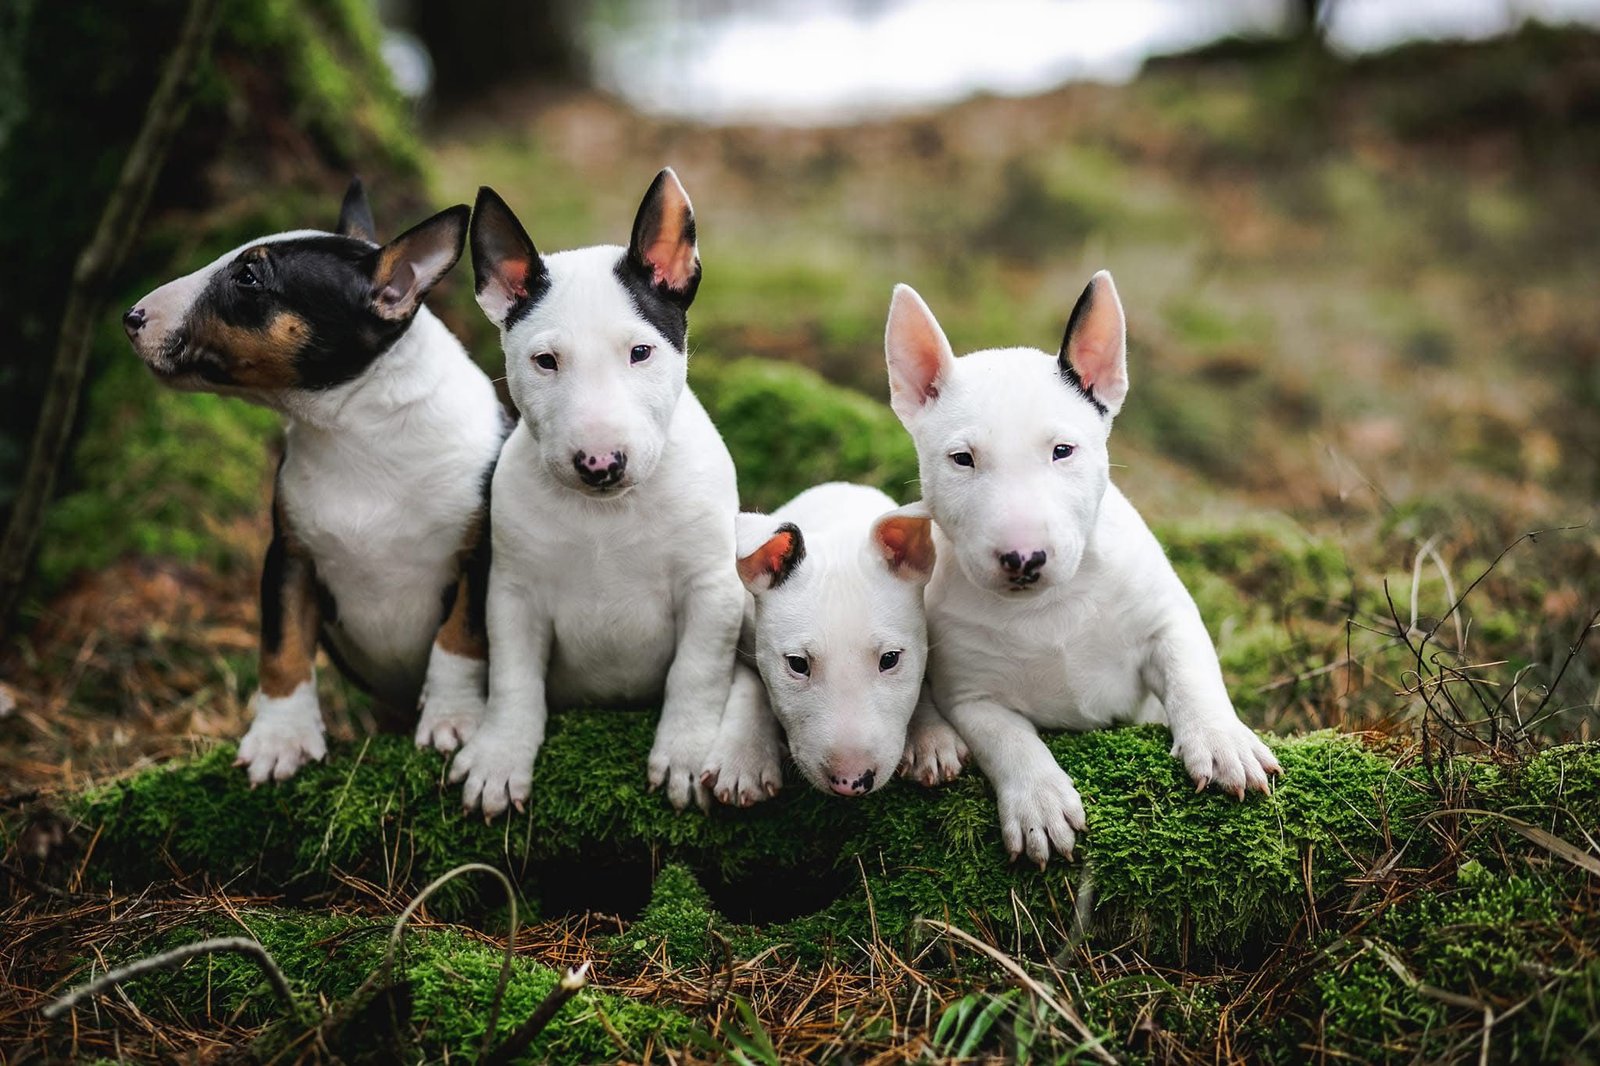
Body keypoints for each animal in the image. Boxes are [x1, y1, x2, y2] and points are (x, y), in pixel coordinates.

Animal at [119, 180, 505, 781]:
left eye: (249, 278)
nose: (132, 316)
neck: (357, 434)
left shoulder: (480, 551)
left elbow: (461, 636)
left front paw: (453, 719)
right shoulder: (290, 556)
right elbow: (282, 648)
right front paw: (279, 740)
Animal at [451, 168, 748, 813]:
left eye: (640, 352)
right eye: (544, 361)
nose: (600, 464)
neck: (605, 516)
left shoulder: (713, 587)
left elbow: (697, 671)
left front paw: (685, 757)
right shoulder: (513, 594)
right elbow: (512, 680)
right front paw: (498, 758)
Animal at [700, 476, 960, 800]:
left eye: (890, 659)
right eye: (797, 664)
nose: (850, 781)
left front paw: (932, 739)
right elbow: (751, 684)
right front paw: (743, 759)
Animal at [883, 272, 1280, 864]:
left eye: (1063, 450)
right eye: (962, 459)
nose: (1023, 558)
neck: (1050, 606)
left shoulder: (1167, 619)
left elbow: (1192, 674)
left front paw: (1222, 742)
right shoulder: (971, 695)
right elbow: (1009, 740)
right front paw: (1040, 804)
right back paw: (929, 742)